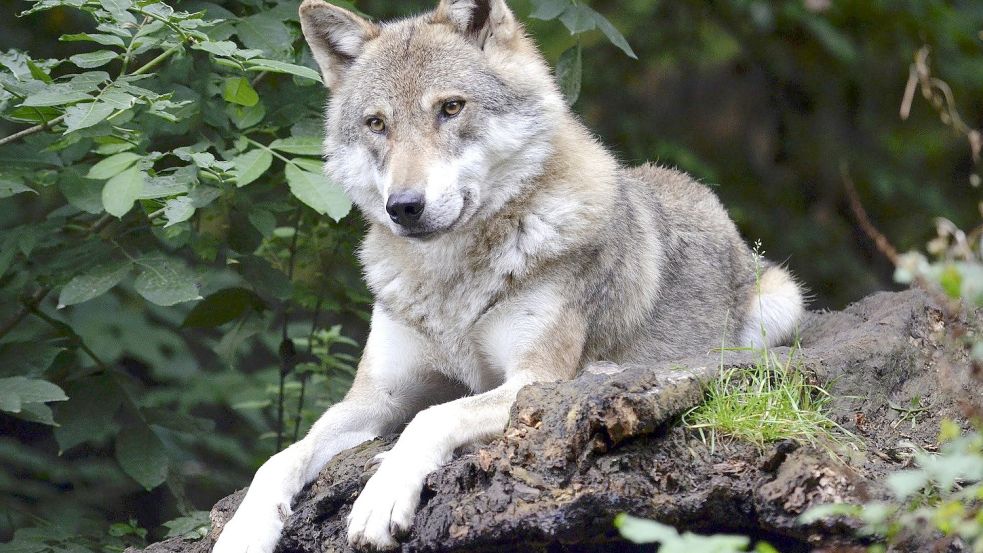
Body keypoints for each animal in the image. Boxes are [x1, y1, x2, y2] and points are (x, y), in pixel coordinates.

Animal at [213, 0, 805, 550]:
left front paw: (380, 498)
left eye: (451, 108)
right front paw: (244, 530)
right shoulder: (374, 398)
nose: (403, 207)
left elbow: (431, 418)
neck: (451, 283)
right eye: (377, 124)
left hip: (780, 303)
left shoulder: (531, 380)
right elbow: (283, 455)